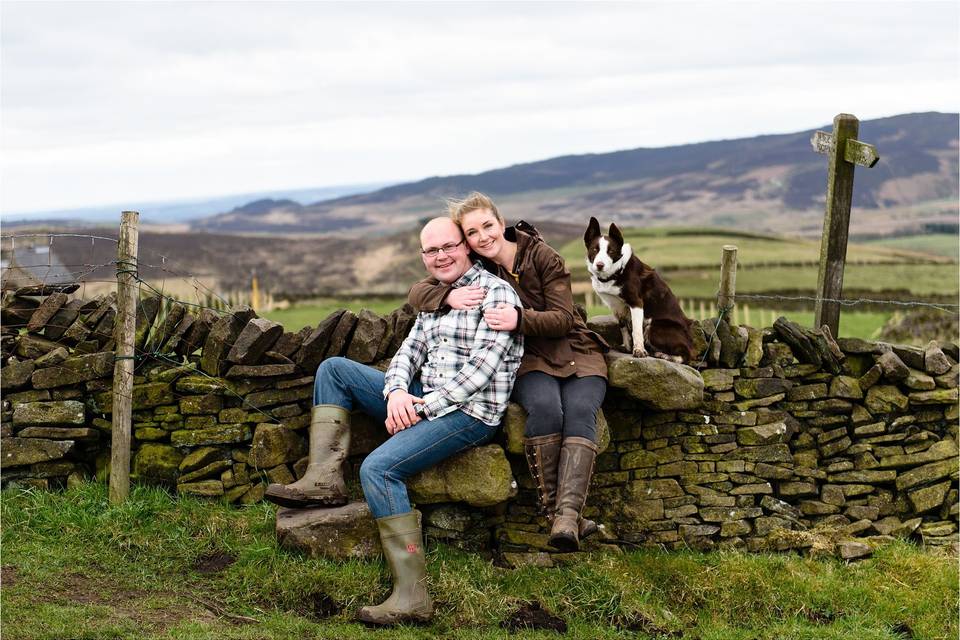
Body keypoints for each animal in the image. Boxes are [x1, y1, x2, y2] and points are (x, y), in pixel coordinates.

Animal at [580, 218, 692, 362]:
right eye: (595, 249)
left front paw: (639, 351)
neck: (617, 271)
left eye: (611, 251)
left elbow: (636, 331)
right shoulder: (617, 307)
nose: (599, 265)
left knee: (684, 354)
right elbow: (623, 328)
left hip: (654, 327)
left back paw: (664, 355)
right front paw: (627, 348)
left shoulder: (636, 303)